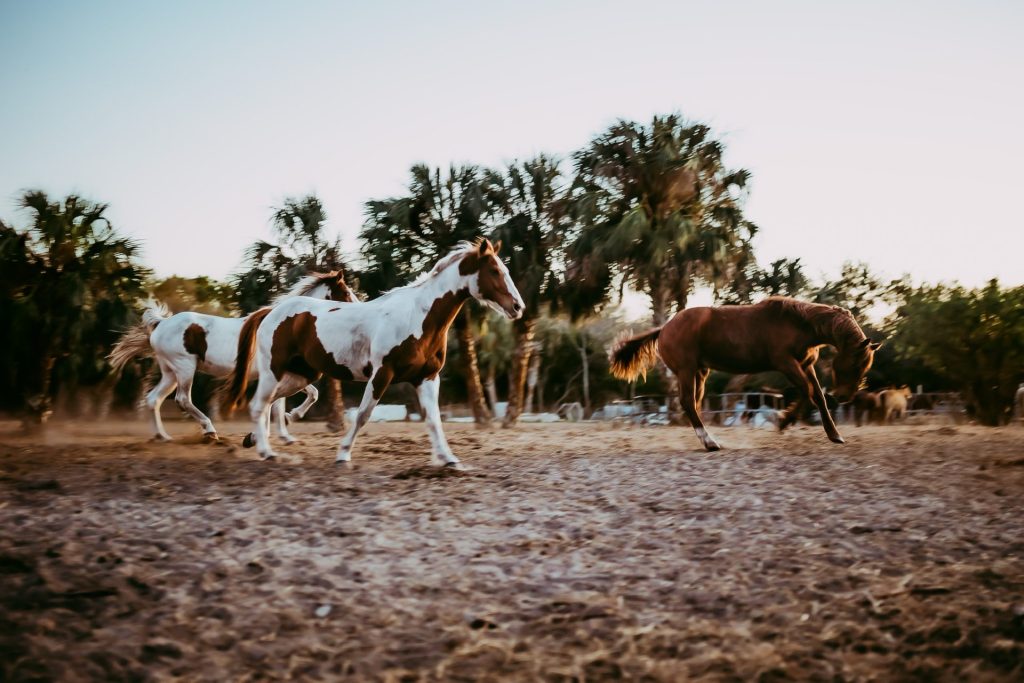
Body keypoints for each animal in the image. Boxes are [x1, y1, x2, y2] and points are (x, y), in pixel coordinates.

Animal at [108, 270, 356, 444]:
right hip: (185, 369)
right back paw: (210, 432)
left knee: (153, 399)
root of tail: (161, 323)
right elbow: (284, 401)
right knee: (183, 400)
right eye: (346, 293)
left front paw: (286, 431)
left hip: (170, 373)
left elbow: (298, 398)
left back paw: (163, 437)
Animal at [227, 237, 524, 466]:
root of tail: (271, 312)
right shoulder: (382, 373)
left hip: (302, 375)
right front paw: (343, 455)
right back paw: (266, 452)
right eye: (494, 271)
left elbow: (434, 420)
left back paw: (254, 439)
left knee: (270, 404)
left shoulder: (427, 378)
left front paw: (448, 458)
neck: (417, 317)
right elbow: (362, 415)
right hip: (273, 371)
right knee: (259, 405)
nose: (518, 307)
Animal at [606, 299, 880, 454]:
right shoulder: (785, 363)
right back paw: (710, 443)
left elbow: (817, 397)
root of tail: (665, 327)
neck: (799, 323)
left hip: (699, 373)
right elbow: (808, 391)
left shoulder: (807, 365)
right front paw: (783, 421)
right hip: (686, 371)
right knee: (687, 403)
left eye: (864, 367)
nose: (844, 397)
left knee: (693, 403)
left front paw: (834, 435)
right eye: (854, 364)